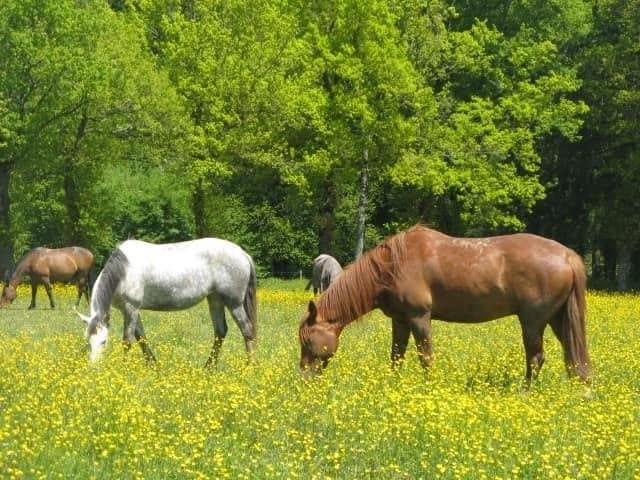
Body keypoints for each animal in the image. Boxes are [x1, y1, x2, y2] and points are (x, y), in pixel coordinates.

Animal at [75, 238, 257, 365]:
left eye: (104, 341)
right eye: (87, 341)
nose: (94, 368)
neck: (124, 271)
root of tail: (243, 254)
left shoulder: (131, 308)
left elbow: (127, 341)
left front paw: (124, 368)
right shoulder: (130, 310)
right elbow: (141, 337)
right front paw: (153, 366)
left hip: (234, 303)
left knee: (247, 331)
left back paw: (250, 368)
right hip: (215, 299)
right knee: (220, 332)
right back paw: (208, 368)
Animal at [298, 225, 590, 384]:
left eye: (307, 340)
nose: (304, 378)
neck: (392, 266)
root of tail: (567, 256)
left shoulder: (419, 318)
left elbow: (426, 358)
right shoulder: (400, 320)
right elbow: (396, 357)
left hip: (533, 322)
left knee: (536, 358)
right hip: (558, 318)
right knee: (573, 357)